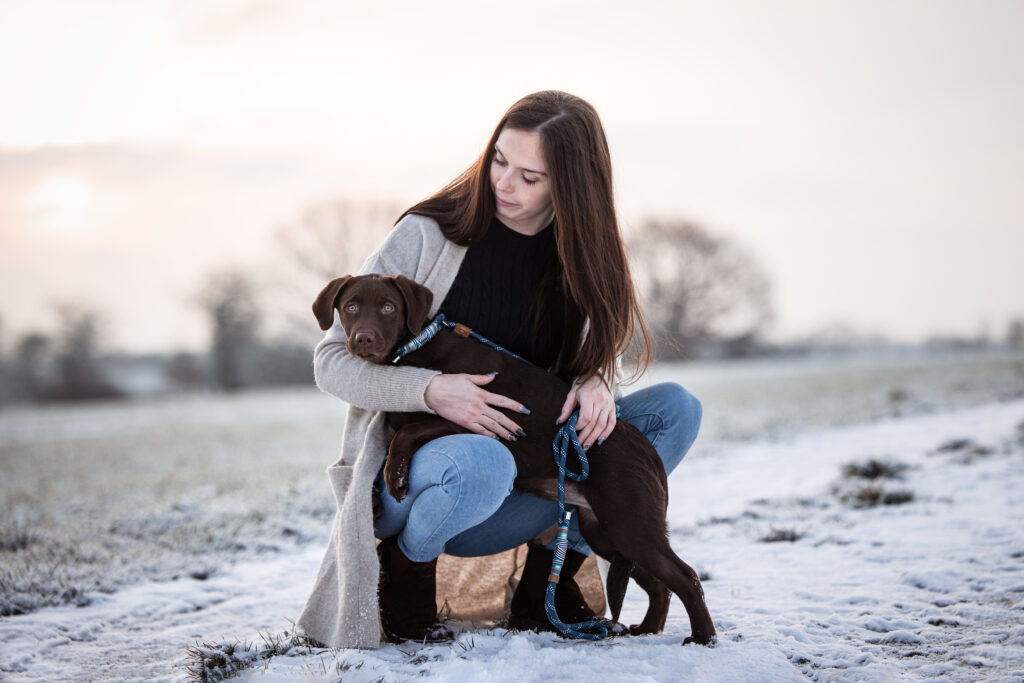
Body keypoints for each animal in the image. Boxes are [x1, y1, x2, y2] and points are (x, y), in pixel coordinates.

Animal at [315, 272, 716, 647]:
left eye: (388, 307)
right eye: (351, 306)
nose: (363, 338)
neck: (411, 352)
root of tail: (647, 451)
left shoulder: (475, 414)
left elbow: (408, 432)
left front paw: (396, 476)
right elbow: (389, 442)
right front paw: (374, 495)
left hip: (630, 522)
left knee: (686, 578)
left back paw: (703, 638)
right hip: (606, 531)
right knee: (659, 584)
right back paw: (648, 629)